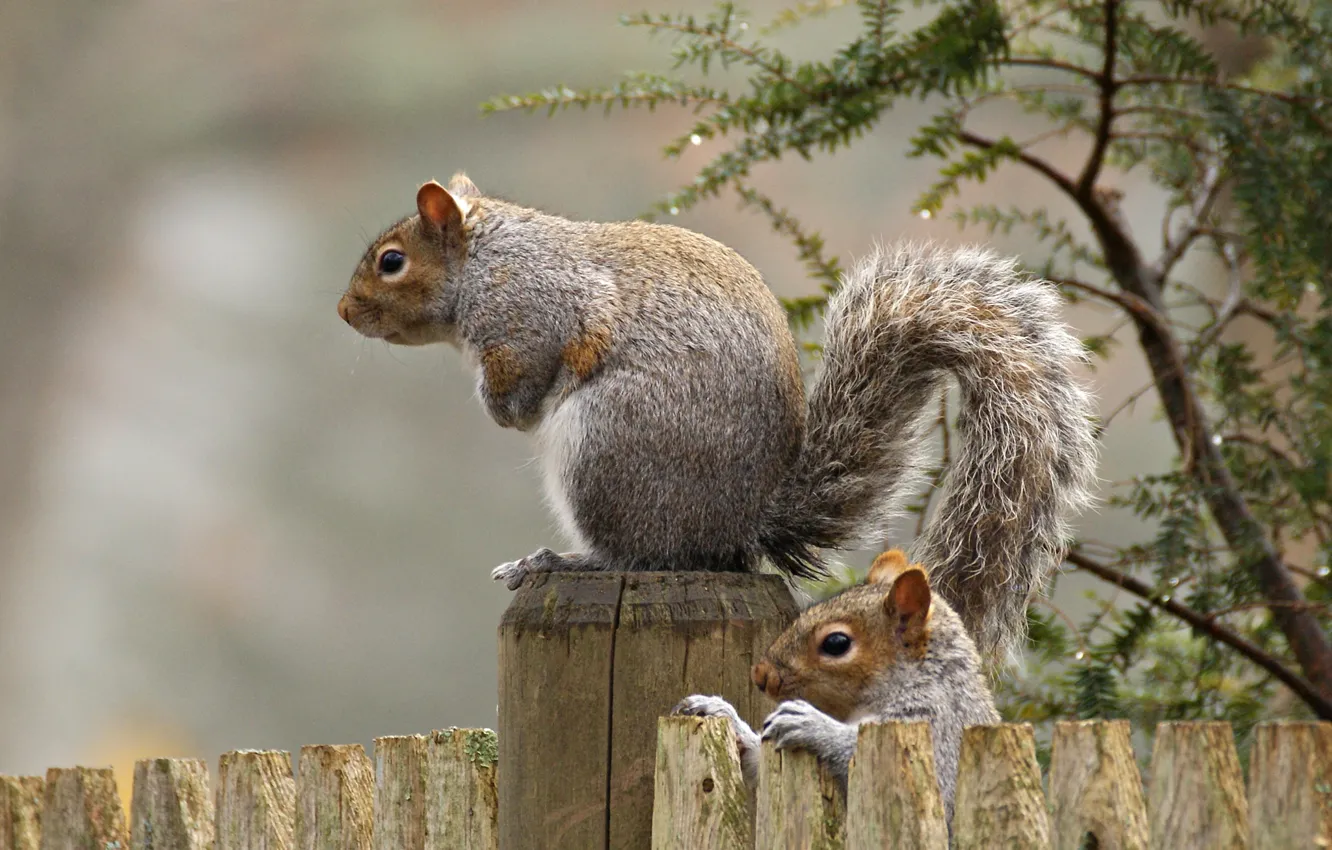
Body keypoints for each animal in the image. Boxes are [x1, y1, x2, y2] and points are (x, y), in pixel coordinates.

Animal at [338, 174, 1097, 666]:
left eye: (391, 262)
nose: (344, 314)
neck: (487, 260)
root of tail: (742, 522)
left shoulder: (532, 317)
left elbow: (524, 380)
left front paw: (500, 409)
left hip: (606, 448)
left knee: (640, 554)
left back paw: (558, 560)